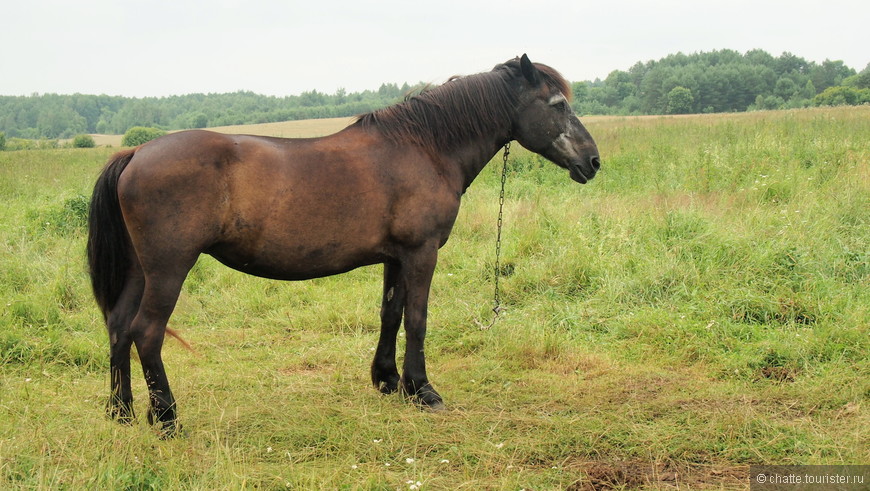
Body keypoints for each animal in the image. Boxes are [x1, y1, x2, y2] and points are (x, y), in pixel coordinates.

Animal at [90, 53, 600, 436]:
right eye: (557, 103)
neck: (424, 147)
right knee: (146, 332)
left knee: (119, 327)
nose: (593, 161)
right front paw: (424, 390)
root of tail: (135, 152)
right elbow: (417, 319)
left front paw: (389, 380)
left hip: (140, 271)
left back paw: (122, 412)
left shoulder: (397, 257)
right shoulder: (422, 253)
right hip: (169, 269)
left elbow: (391, 313)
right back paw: (167, 419)